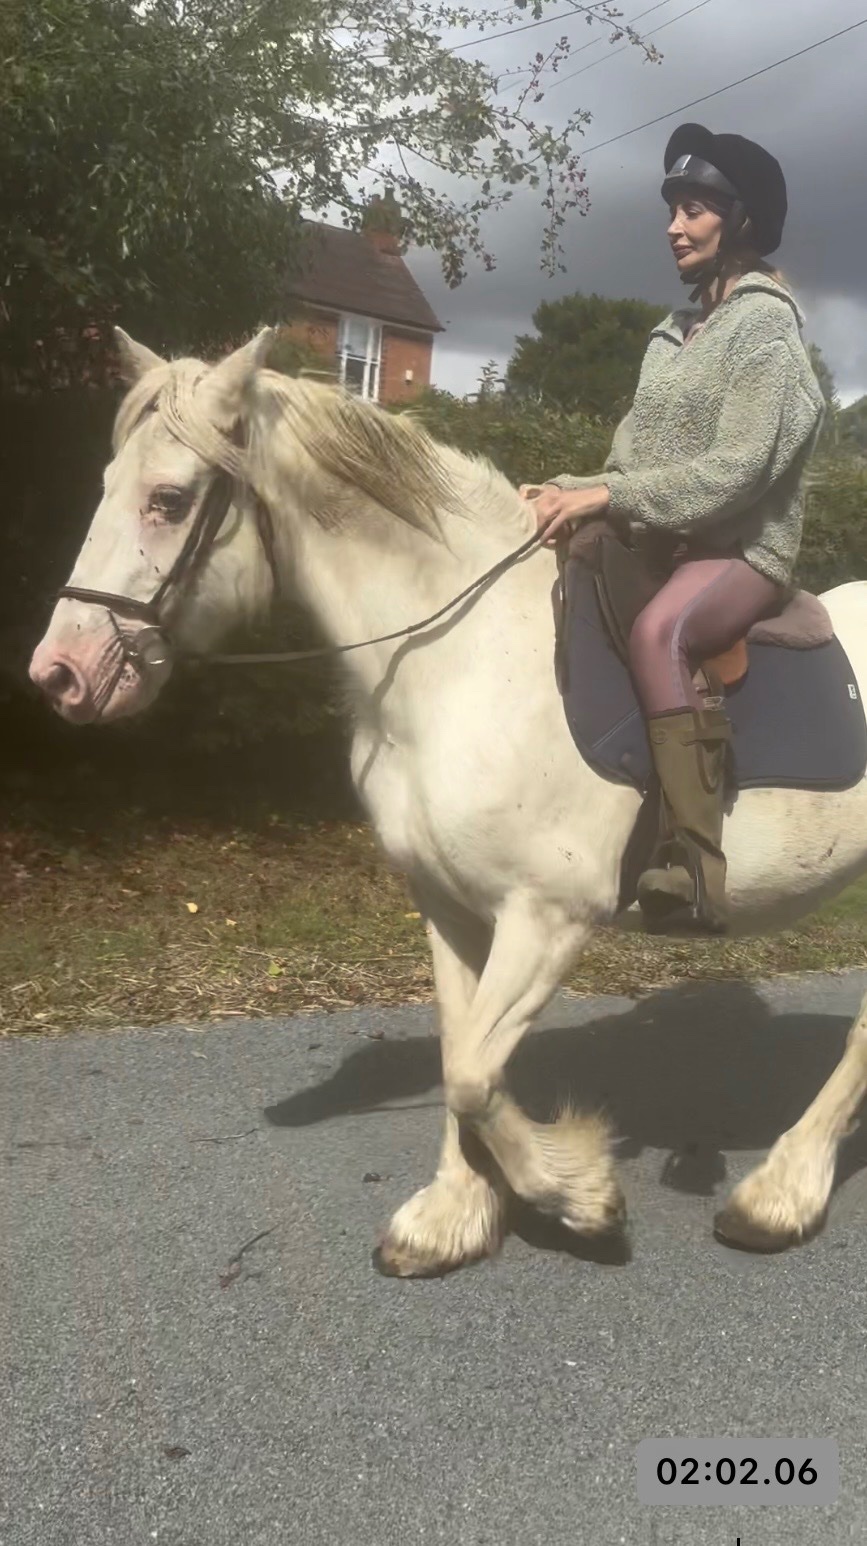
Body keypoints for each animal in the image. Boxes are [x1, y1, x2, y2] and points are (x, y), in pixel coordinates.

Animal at [29, 327, 867, 1278]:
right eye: (106, 485)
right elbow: (458, 1053)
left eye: (167, 500)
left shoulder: (547, 917)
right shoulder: (450, 907)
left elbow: (471, 1075)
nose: (60, 673)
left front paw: (580, 1195)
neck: (464, 657)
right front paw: (453, 1217)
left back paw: (779, 1195)